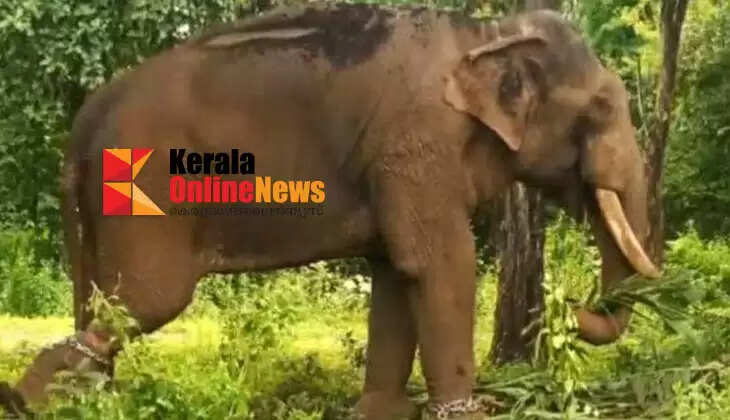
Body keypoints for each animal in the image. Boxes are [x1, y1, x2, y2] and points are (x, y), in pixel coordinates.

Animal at [0, 3, 660, 419]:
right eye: (601, 109)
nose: (573, 309)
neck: (481, 34)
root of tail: (82, 123)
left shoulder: (396, 161)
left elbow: (395, 271)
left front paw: (381, 411)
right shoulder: (416, 142)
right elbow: (439, 263)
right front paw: (468, 413)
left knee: (102, 302)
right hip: (145, 193)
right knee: (147, 299)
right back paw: (30, 402)